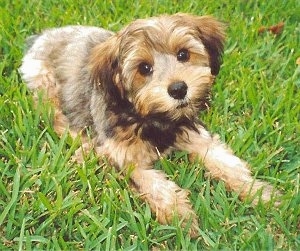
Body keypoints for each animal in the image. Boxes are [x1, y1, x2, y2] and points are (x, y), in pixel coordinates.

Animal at [19, 13, 280, 237]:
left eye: (183, 54)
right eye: (144, 68)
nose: (178, 89)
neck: (151, 117)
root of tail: (42, 35)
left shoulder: (194, 133)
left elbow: (225, 161)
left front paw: (257, 192)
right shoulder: (122, 155)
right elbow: (151, 181)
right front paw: (179, 215)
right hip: (43, 81)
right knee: (55, 115)